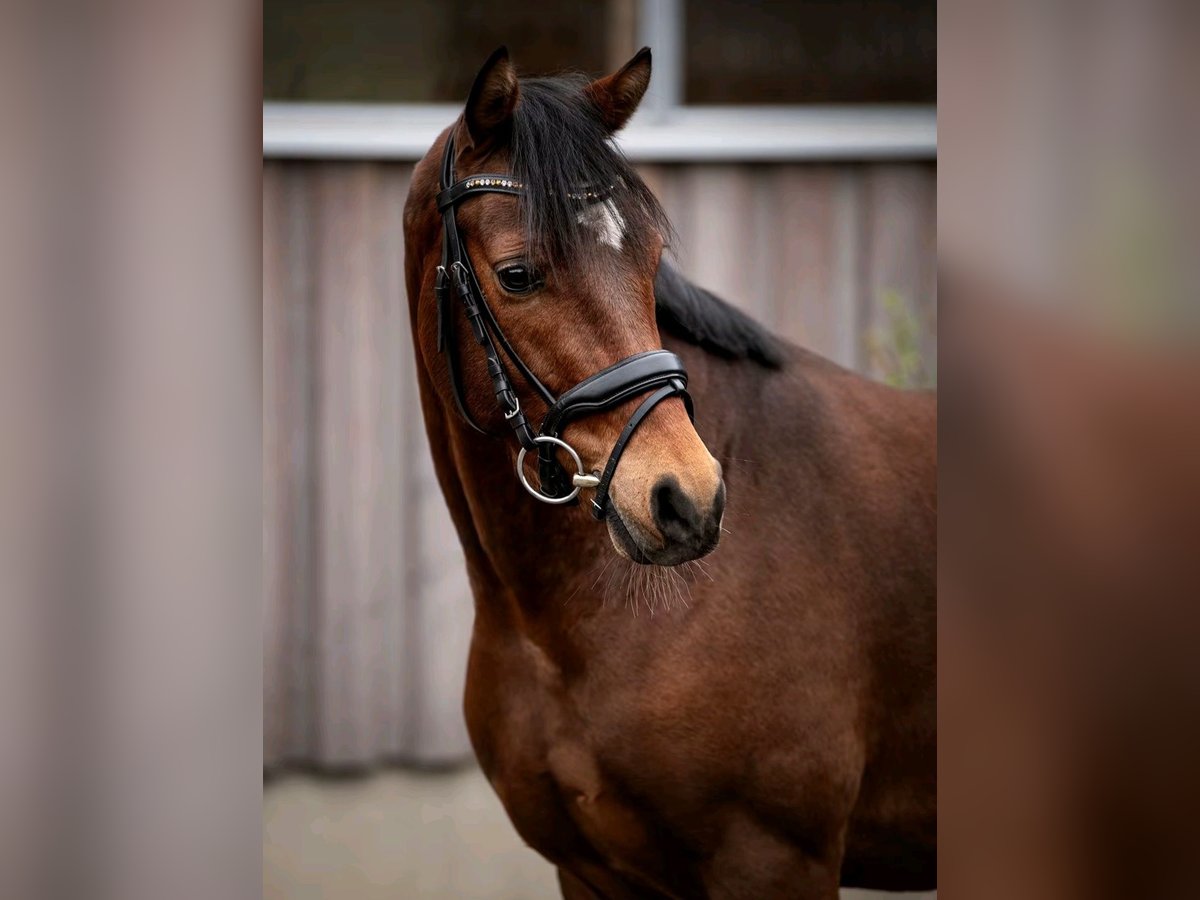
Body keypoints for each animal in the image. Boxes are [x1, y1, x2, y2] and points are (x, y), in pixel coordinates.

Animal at [403, 49, 936, 900]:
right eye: (517, 274)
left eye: (651, 260)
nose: (688, 500)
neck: (564, 628)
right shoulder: (589, 872)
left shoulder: (776, 860)